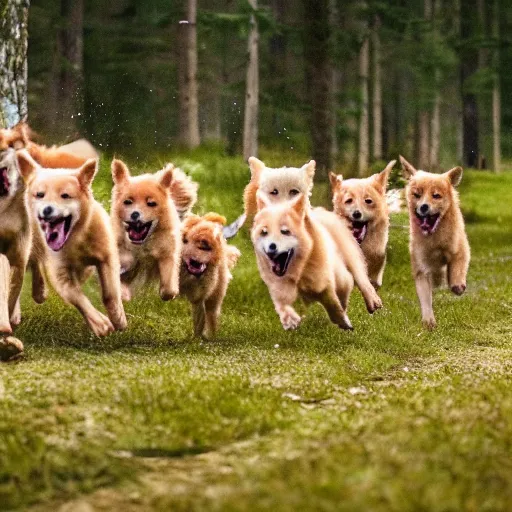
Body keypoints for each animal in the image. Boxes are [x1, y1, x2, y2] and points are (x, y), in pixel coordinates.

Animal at [18, 150, 127, 338]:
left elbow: (110, 293)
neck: (75, 238)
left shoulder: (107, 257)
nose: (47, 210)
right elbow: (77, 297)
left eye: (65, 196)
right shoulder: (60, 272)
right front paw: (101, 324)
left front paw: (118, 319)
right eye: (40, 194)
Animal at [110, 156, 198, 300]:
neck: (142, 245)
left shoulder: (167, 254)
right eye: (127, 202)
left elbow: (169, 287)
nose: (135, 214)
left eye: (151, 203)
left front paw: (166, 293)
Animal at [252, 192, 368, 332]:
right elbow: (282, 305)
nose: (271, 246)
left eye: (285, 231)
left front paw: (343, 321)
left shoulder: (328, 281)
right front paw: (290, 320)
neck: (299, 272)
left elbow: (334, 303)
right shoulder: (279, 288)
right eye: (264, 232)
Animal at [402, 154, 470, 330]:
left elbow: (458, 267)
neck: (435, 240)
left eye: (436, 195)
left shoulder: (460, 249)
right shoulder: (421, 267)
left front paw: (457, 285)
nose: (424, 207)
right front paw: (428, 321)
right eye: (417, 195)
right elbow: (425, 298)